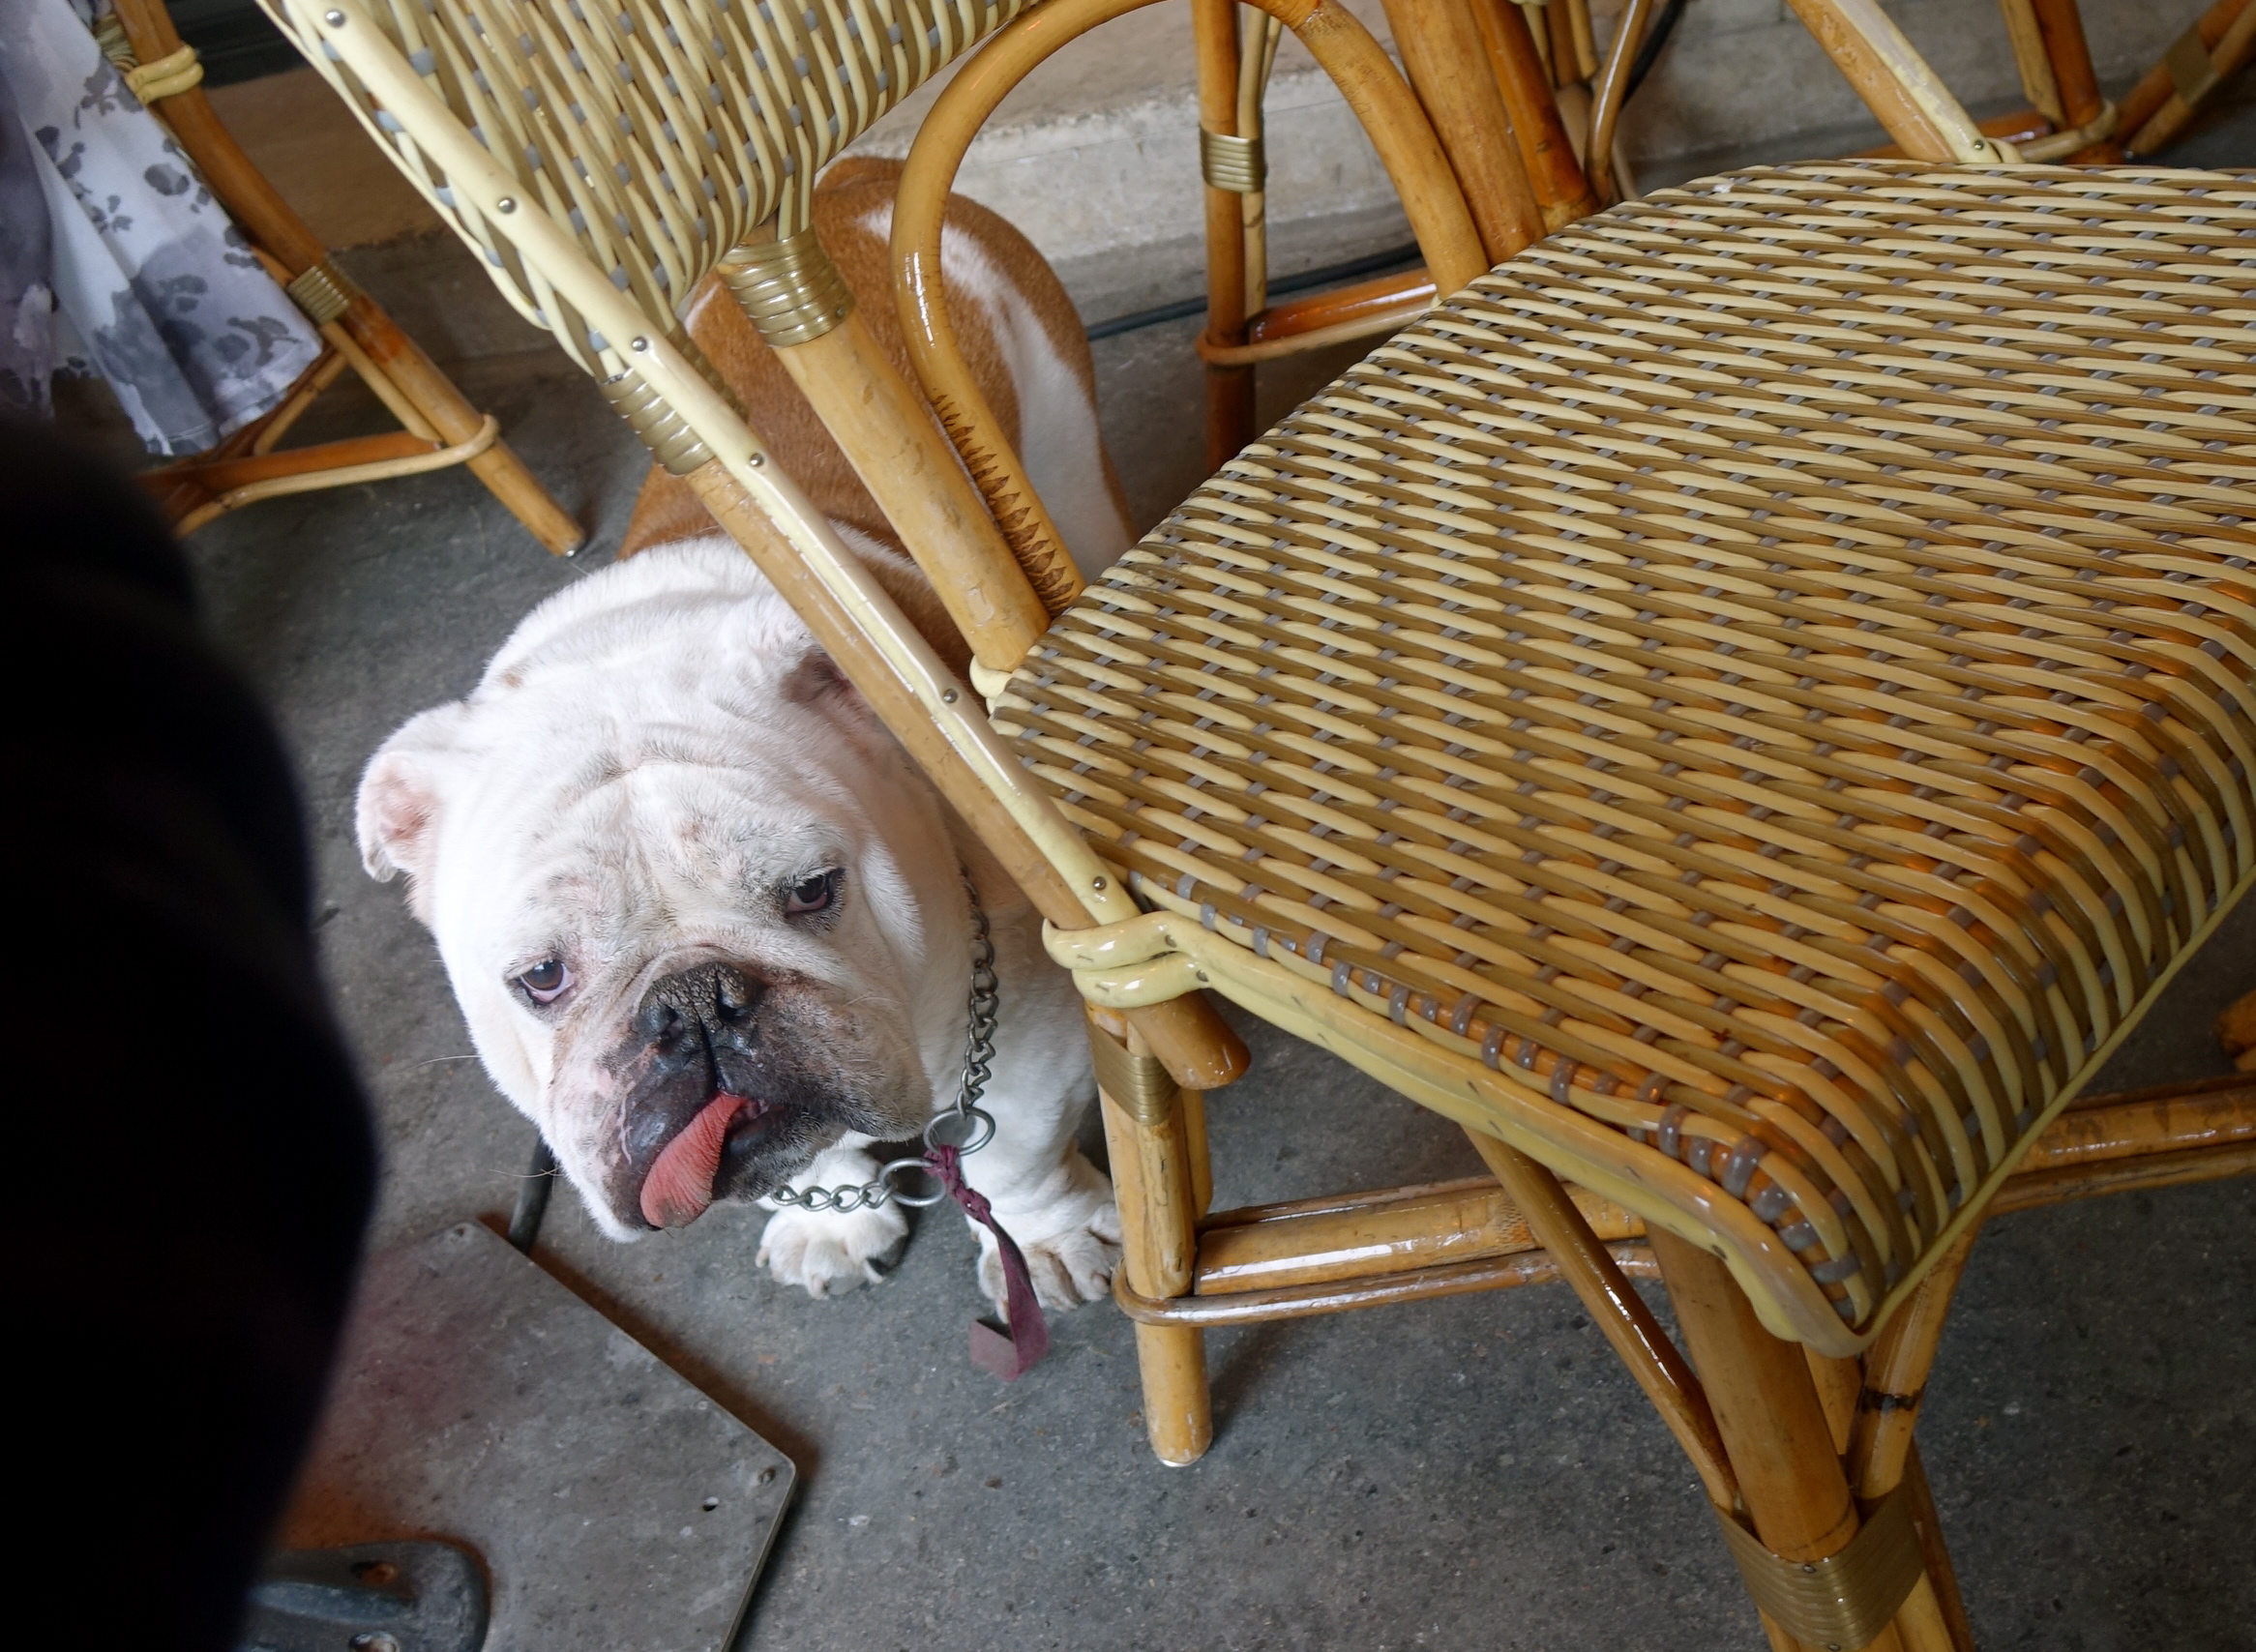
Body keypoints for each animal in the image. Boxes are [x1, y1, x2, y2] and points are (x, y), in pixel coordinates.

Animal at [356, 160, 1134, 1313]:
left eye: (813, 892)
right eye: (539, 979)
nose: (692, 1004)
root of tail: (853, 179)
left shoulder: (1029, 1013)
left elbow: (1016, 1149)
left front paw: (1042, 1240)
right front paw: (833, 1221)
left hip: (1064, 462)